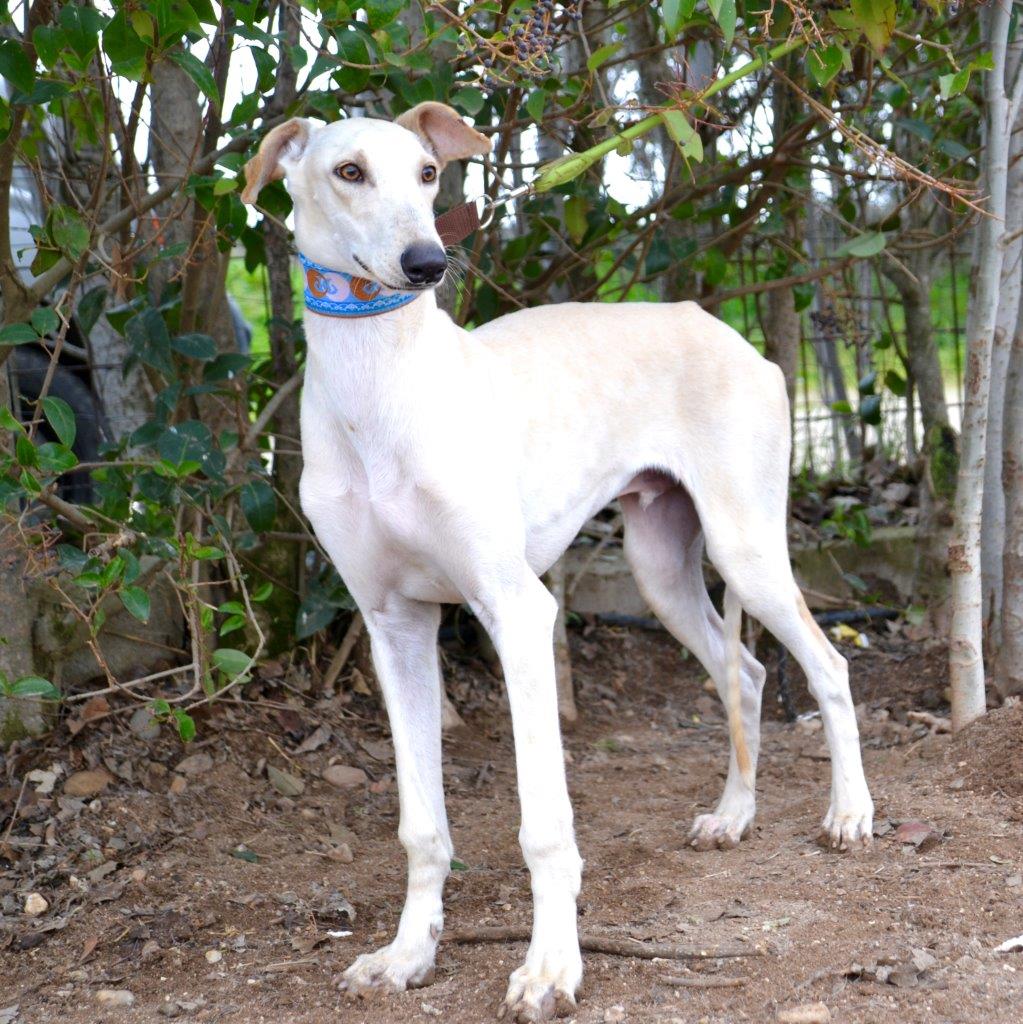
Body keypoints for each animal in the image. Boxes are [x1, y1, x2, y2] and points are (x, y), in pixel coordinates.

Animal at [243, 103, 876, 1024]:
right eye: (349, 171)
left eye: (428, 172)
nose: (427, 263)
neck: (382, 392)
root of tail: (718, 326)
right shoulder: (394, 628)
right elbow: (420, 826)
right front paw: (406, 955)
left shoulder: (516, 613)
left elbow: (544, 827)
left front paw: (549, 970)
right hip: (660, 567)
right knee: (748, 672)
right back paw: (733, 813)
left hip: (745, 545)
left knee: (826, 664)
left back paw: (851, 814)